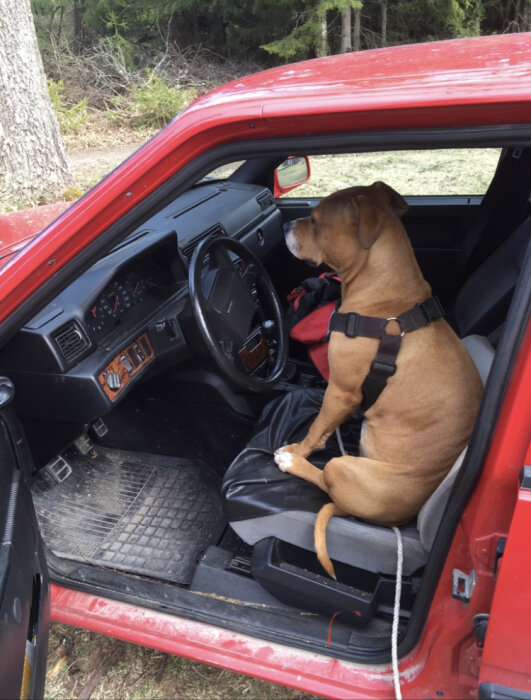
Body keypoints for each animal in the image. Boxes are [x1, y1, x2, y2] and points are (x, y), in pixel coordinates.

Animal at [276, 182, 484, 580]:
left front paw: (298, 449)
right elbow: (325, 427)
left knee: (326, 481)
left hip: (344, 468)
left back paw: (291, 463)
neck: (388, 299)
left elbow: (314, 431)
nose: (286, 224)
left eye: (315, 220)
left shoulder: (340, 392)